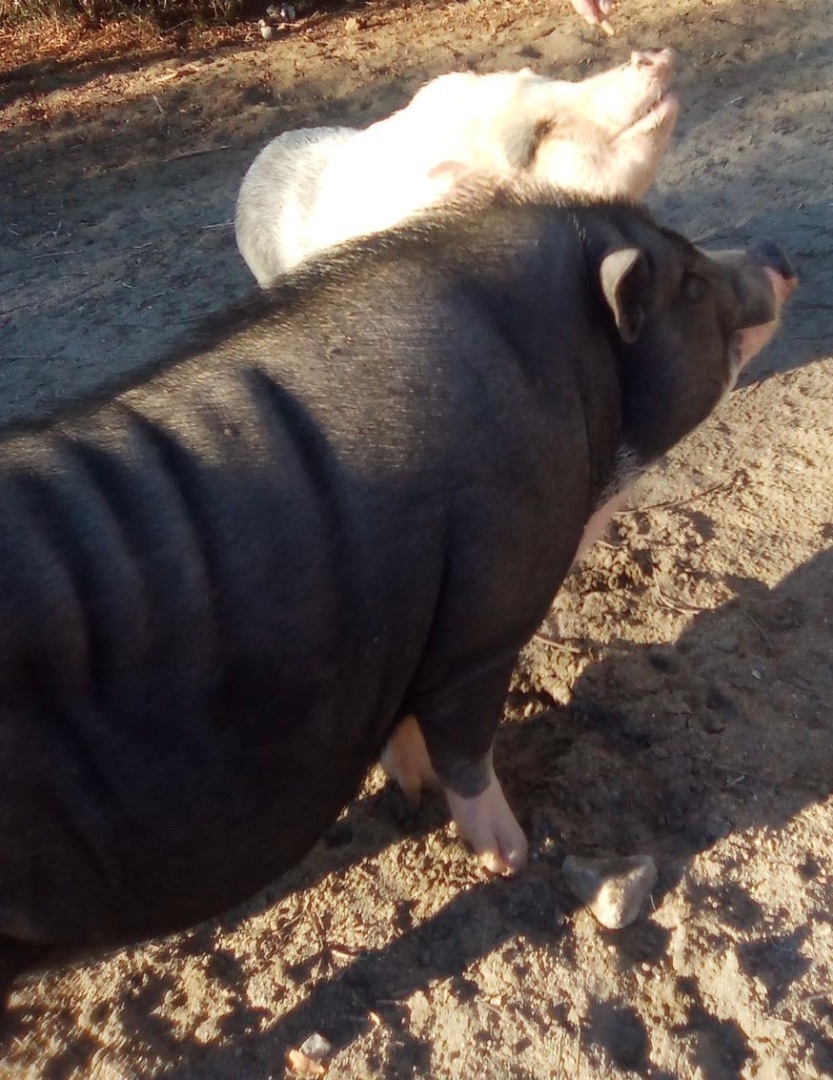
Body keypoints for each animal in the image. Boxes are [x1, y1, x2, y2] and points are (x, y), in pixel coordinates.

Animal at [0, 181, 794, 1013]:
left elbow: (408, 727)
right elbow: (465, 746)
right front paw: (511, 856)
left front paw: (411, 795)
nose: (774, 253)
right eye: (690, 284)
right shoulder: (482, 626)